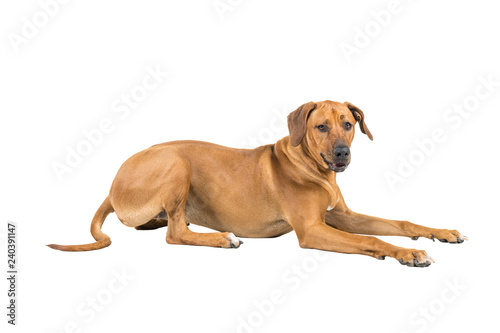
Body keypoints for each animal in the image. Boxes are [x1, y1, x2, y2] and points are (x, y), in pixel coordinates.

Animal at [48, 100, 466, 266]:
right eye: (321, 127)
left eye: (348, 124)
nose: (343, 153)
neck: (313, 168)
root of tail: (112, 184)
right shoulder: (312, 230)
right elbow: (374, 239)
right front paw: (407, 254)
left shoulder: (339, 216)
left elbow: (399, 223)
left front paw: (439, 233)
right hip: (176, 162)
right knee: (176, 233)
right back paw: (222, 238)